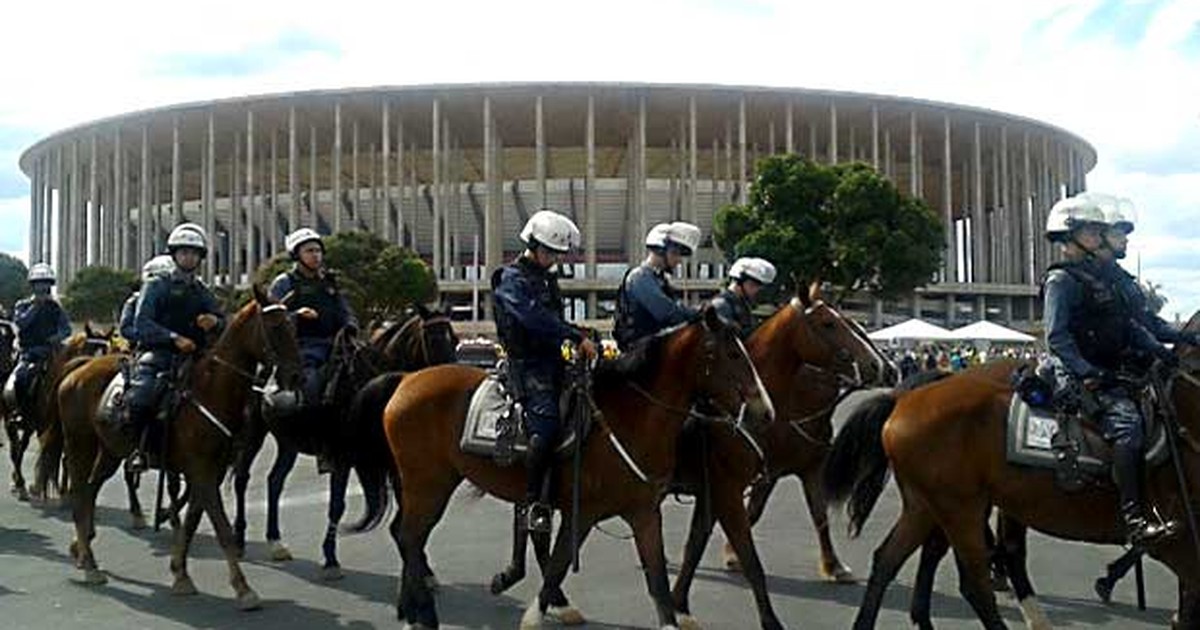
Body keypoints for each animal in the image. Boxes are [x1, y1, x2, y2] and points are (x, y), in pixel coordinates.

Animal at [60, 286, 304, 607]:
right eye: (275, 327)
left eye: (294, 327)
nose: (297, 377)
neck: (210, 391)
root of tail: (77, 372)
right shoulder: (201, 472)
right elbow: (222, 528)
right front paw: (243, 588)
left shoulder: (209, 474)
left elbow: (191, 523)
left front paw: (181, 574)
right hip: (80, 446)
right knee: (79, 496)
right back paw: (89, 565)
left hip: (109, 452)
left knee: (90, 491)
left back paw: (83, 547)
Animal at [350, 307, 772, 628]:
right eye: (732, 355)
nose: (763, 411)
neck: (631, 417)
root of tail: (405, 379)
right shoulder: (581, 513)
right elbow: (557, 563)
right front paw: (535, 616)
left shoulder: (643, 513)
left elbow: (656, 579)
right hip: (428, 484)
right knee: (410, 537)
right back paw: (420, 613)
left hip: (422, 484)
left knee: (407, 535)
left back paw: (411, 608)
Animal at [830, 314, 1200, 628]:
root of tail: (906, 399)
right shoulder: (1178, 541)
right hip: (959, 507)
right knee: (976, 578)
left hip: (928, 505)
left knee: (890, 559)